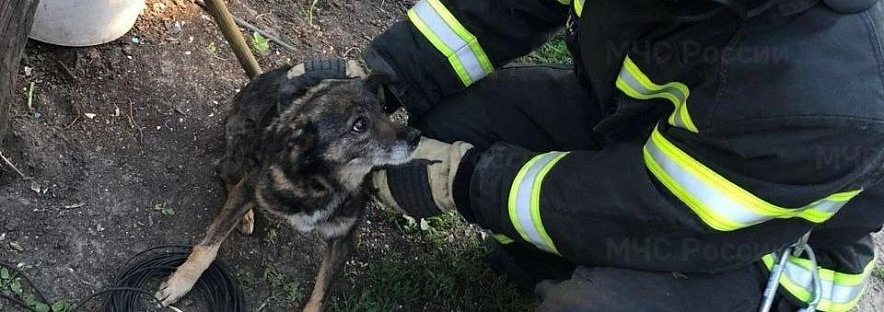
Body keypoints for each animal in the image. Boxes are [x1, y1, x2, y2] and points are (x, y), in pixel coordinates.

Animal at [155, 61, 422, 312]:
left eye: (383, 111)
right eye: (359, 125)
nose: (416, 136)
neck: (322, 182)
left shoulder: (342, 238)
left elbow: (321, 292)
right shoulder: (251, 186)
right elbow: (209, 244)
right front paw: (181, 281)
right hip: (240, 151)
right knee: (226, 174)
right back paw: (245, 215)